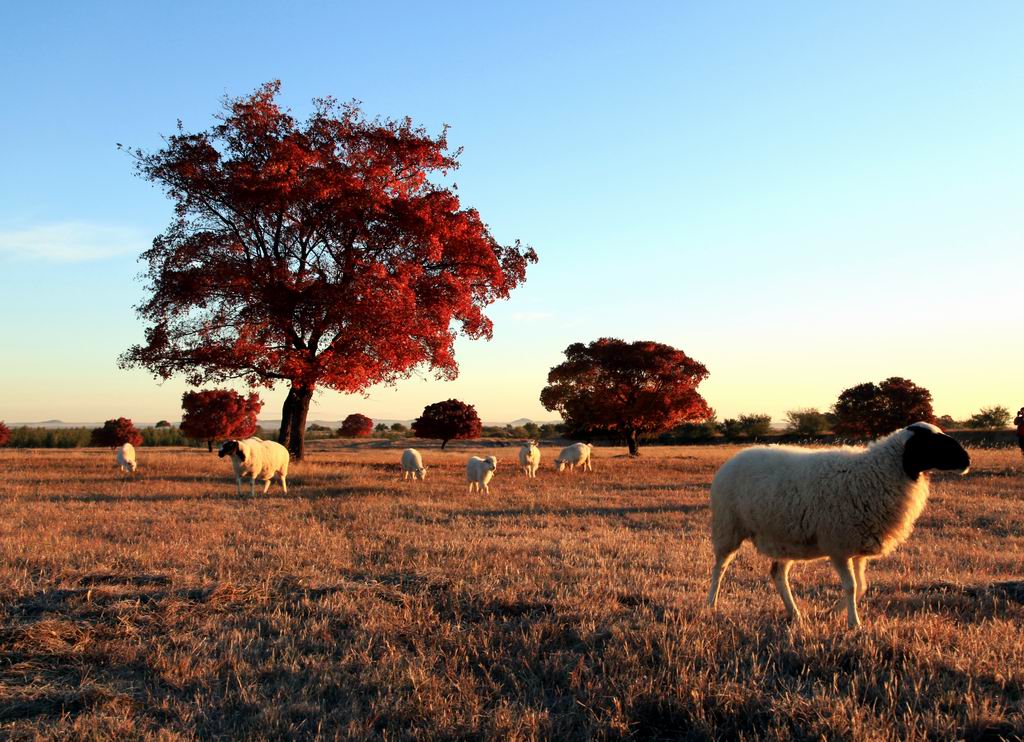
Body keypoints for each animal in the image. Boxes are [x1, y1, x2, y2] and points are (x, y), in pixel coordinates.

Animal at [708, 421, 970, 626]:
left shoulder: (858, 548)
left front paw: (830, 614)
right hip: (728, 527)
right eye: (931, 443)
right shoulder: (839, 547)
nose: (967, 460)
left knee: (777, 573)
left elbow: (861, 586)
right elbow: (851, 586)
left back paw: (795, 614)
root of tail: (737, 457)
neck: (879, 472)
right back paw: (711, 604)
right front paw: (854, 624)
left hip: (786, 538)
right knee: (720, 568)